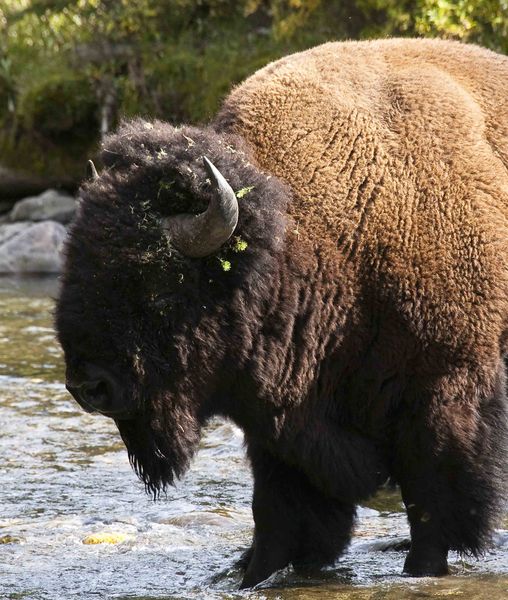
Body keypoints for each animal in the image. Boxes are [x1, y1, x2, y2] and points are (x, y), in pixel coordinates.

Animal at [56, 39, 508, 588]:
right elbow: (277, 514)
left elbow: (431, 505)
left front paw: (421, 569)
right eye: (74, 265)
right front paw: (253, 574)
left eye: (152, 282)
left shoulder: (446, 388)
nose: (88, 386)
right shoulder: (280, 421)